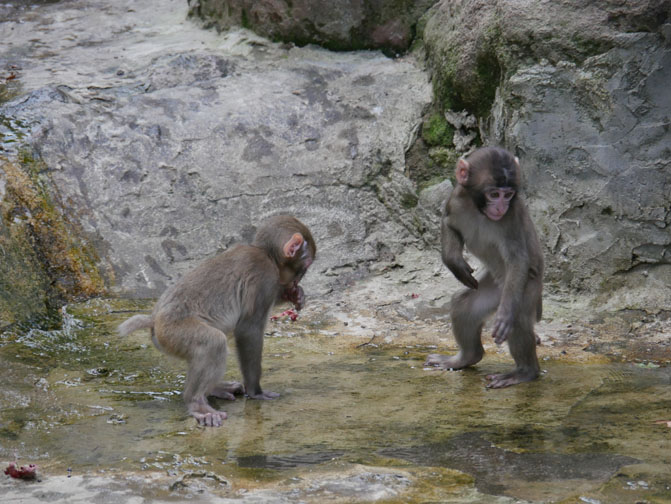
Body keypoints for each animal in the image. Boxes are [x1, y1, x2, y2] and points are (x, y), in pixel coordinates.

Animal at [117, 215, 316, 427]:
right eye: (307, 264)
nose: (296, 281)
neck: (266, 254)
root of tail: (154, 320)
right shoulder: (265, 278)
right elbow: (248, 330)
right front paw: (256, 391)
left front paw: (294, 294)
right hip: (173, 332)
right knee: (213, 343)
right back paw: (197, 403)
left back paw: (213, 389)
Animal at [425, 146, 543, 388]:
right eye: (494, 194)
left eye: (508, 194)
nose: (501, 206)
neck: (479, 211)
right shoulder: (456, 199)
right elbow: (448, 223)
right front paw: (454, 261)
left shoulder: (511, 217)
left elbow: (517, 259)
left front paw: (505, 315)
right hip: (495, 288)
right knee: (464, 305)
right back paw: (466, 358)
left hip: (524, 287)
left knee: (518, 317)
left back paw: (524, 372)